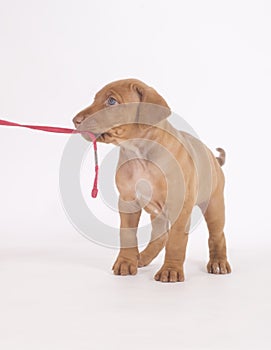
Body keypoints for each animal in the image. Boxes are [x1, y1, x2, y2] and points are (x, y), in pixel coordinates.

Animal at [73, 78, 232, 282]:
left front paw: (170, 270)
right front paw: (126, 262)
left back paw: (218, 262)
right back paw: (142, 257)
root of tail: (213, 158)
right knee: (160, 236)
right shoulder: (127, 202)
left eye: (111, 101)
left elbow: (176, 241)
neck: (138, 153)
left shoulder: (179, 205)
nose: (75, 120)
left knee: (217, 234)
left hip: (214, 204)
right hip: (158, 212)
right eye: (95, 99)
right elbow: (127, 234)